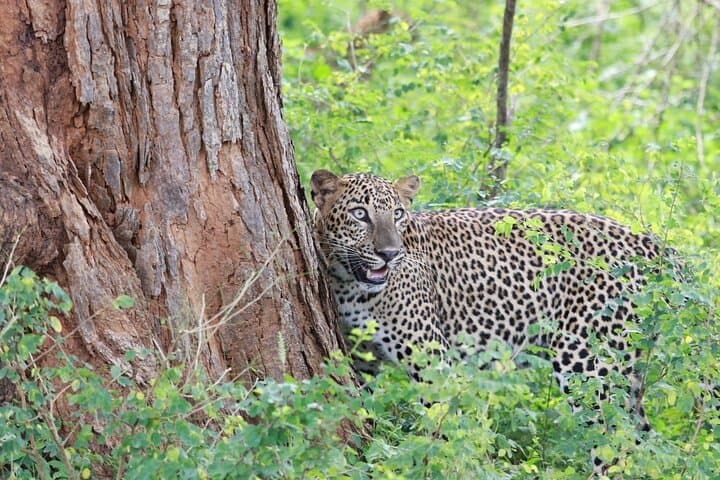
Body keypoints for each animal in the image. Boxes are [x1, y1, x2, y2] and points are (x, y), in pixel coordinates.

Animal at [310, 169, 666, 444]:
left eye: (397, 214)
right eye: (360, 213)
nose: (389, 254)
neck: (350, 285)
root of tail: (652, 244)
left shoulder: (431, 359)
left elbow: (440, 427)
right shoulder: (363, 360)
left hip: (587, 362)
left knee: (613, 440)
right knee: (643, 441)